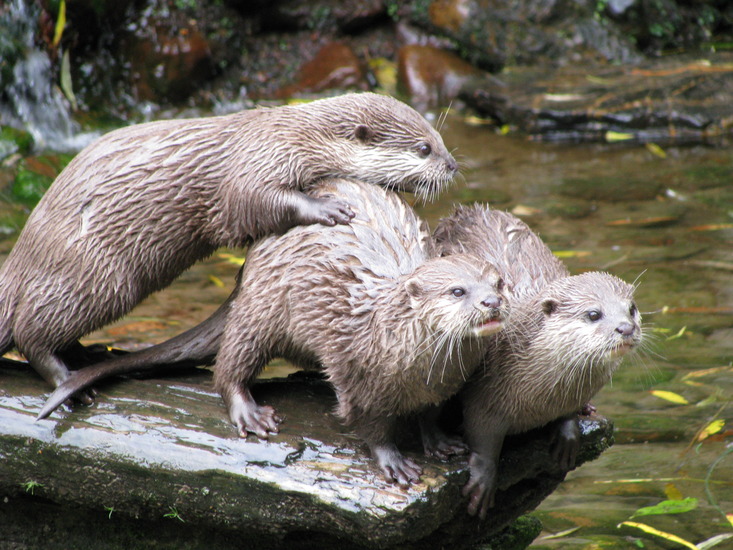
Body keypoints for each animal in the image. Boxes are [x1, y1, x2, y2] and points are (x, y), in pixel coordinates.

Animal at [1, 93, 458, 399]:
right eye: (424, 148)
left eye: (439, 138)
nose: (453, 165)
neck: (298, 137)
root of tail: (23, 255)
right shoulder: (258, 161)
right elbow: (253, 199)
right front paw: (327, 207)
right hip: (97, 276)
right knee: (30, 333)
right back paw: (64, 378)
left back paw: (86, 354)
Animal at [433, 205, 642, 519]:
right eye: (594, 314)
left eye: (631, 309)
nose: (626, 328)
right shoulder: (487, 395)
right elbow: (483, 438)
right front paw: (483, 478)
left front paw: (568, 433)